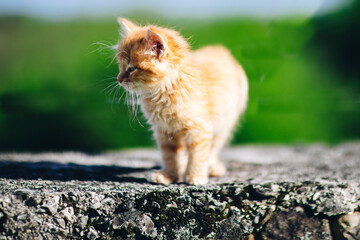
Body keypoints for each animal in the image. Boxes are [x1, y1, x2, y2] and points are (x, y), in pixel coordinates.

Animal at [115, 17, 248, 185]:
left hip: (225, 123)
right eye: (120, 66)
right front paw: (168, 175)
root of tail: (221, 50)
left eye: (132, 68)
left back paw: (211, 167)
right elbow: (170, 155)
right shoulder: (165, 131)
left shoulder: (200, 129)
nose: (119, 79)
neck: (164, 91)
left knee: (213, 147)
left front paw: (195, 176)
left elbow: (198, 154)